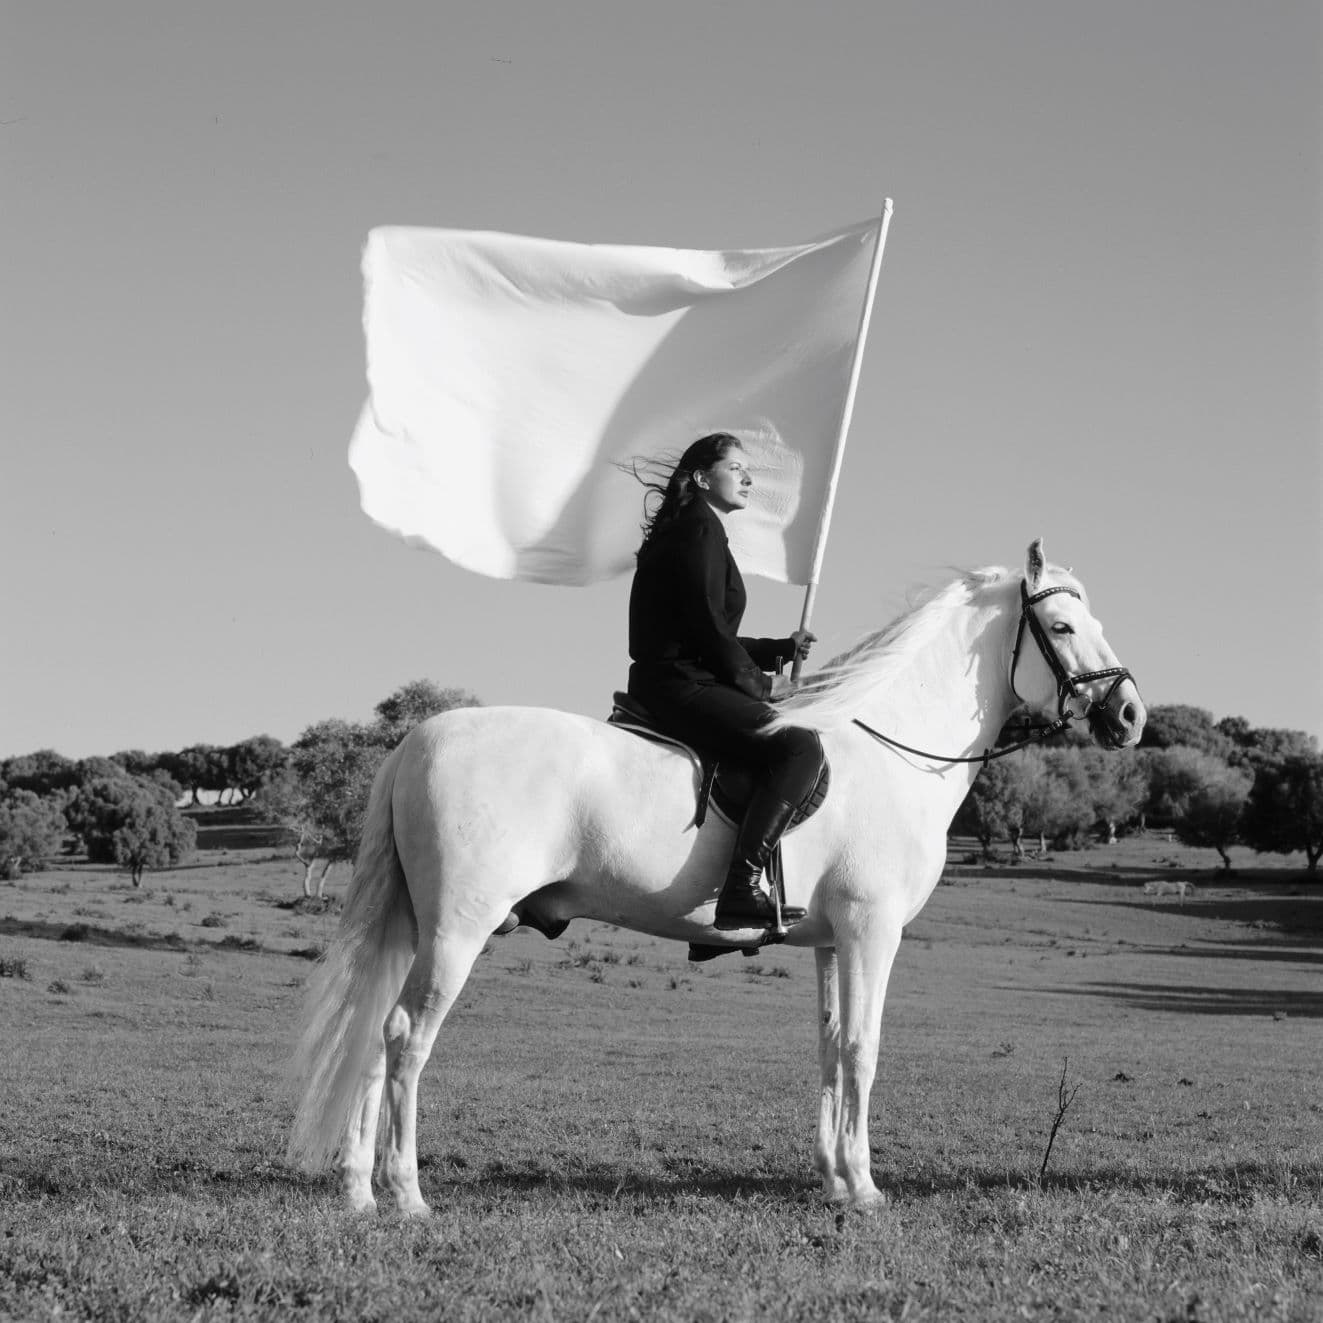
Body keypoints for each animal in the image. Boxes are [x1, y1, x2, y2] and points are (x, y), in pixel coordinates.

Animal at [289, 537, 1148, 1211]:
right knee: (407, 1035)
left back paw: (360, 1191)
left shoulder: (828, 941)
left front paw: (834, 1180)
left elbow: (829, 1049)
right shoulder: (869, 932)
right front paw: (865, 1186)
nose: (1130, 715)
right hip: (457, 930)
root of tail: (416, 737)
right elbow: (863, 1047)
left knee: (375, 1033)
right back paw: (406, 1192)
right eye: (1062, 626)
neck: (890, 748)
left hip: (416, 929)